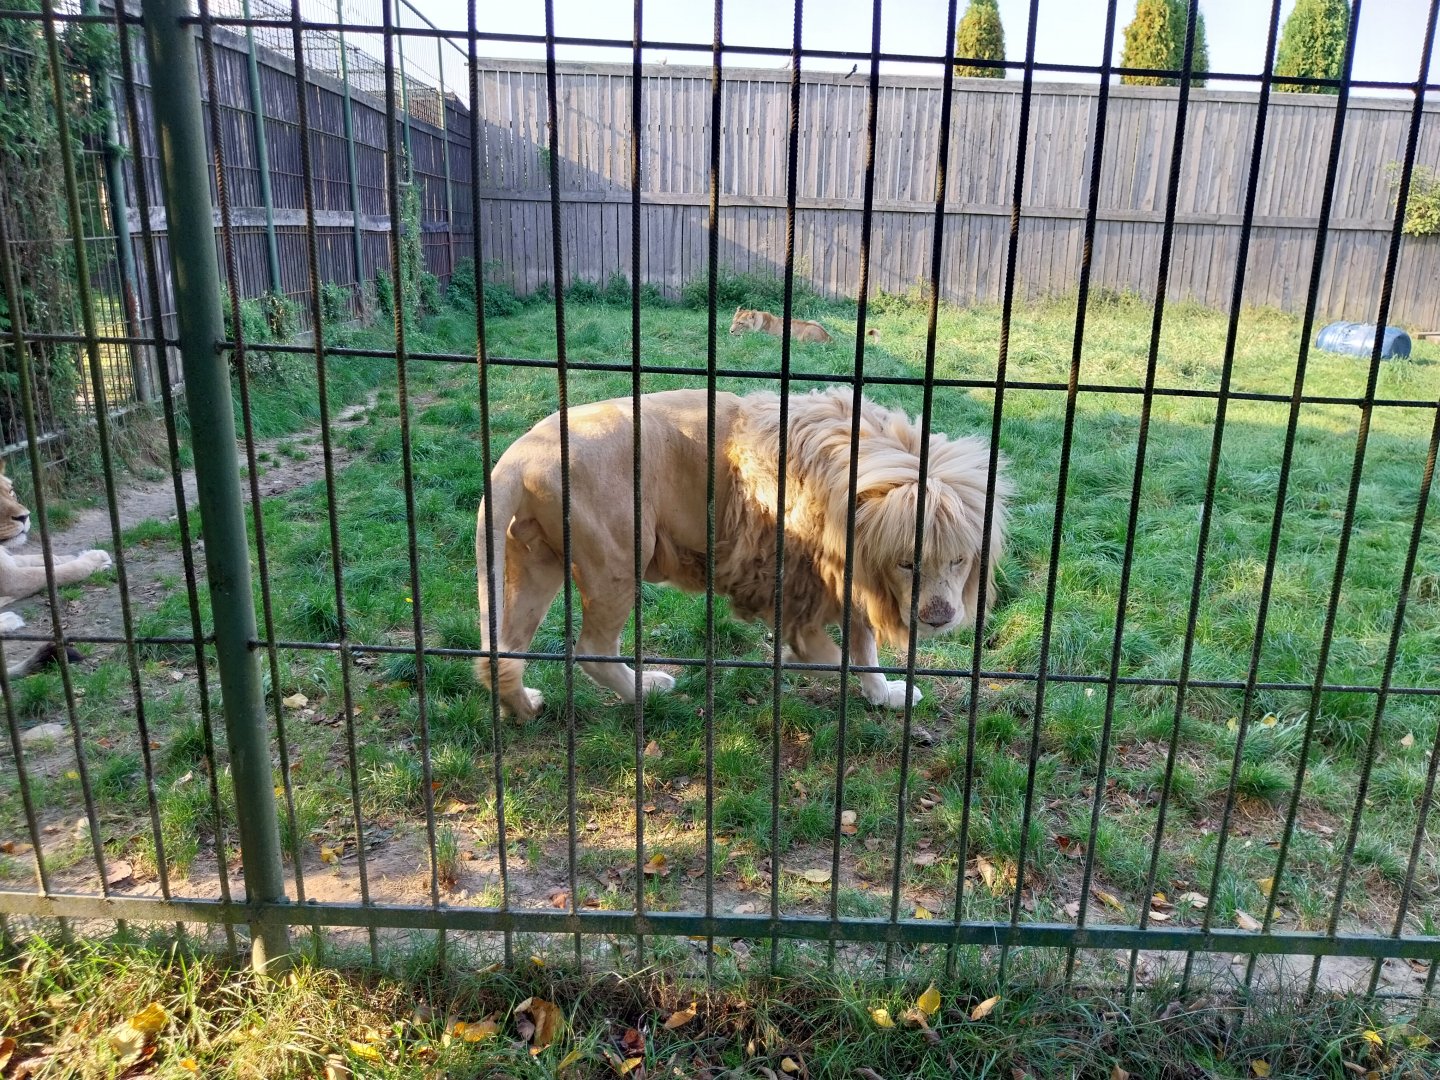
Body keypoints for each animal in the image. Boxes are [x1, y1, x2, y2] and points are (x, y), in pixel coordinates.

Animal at [0, 463, 112, 676]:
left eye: (10, 491)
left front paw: (86, 554)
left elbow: (46, 558)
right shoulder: (10, 578)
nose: (25, 517)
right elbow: (61, 572)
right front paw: (94, 561)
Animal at [475, 387, 1008, 720]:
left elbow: (865, 648)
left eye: (959, 559)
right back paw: (646, 689)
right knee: (591, 649)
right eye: (906, 561)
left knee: (503, 654)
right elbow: (836, 651)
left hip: (534, 564)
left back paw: (523, 708)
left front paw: (885, 696)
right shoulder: (795, 579)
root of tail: (520, 455)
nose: (939, 617)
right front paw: (805, 656)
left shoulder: (847, 581)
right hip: (618, 558)